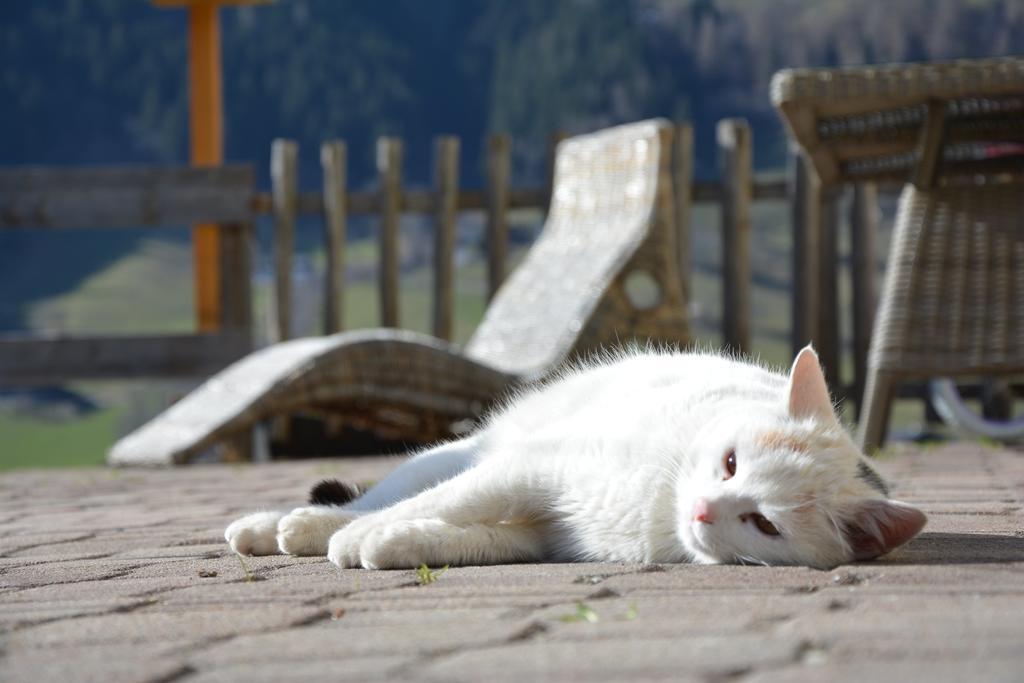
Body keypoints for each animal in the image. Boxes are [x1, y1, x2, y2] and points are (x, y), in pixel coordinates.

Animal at [226, 348, 929, 573]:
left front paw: (395, 545)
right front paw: (356, 537)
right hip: (467, 452)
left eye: (763, 524)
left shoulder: (547, 532)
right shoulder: (533, 469)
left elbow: (468, 535)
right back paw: (285, 526)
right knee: (379, 494)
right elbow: (446, 503)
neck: (658, 507)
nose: (704, 509)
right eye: (730, 463)